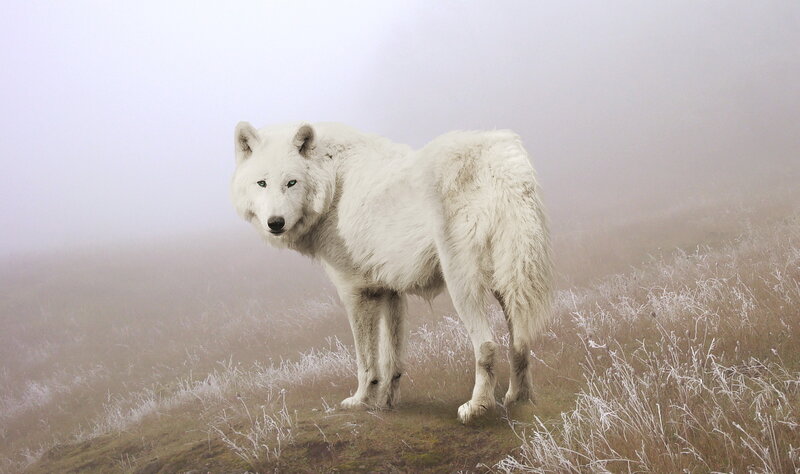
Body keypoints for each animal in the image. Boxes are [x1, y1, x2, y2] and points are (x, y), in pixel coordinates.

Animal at [230, 122, 552, 423]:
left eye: (291, 182)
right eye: (262, 183)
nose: (275, 222)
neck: (334, 185)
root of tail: (502, 158)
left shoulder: (354, 292)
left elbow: (365, 361)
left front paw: (360, 401)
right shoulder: (389, 290)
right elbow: (392, 359)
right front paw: (386, 402)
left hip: (463, 285)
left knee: (486, 345)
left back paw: (477, 407)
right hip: (508, 282)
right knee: (521, 342)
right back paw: (519, 398)